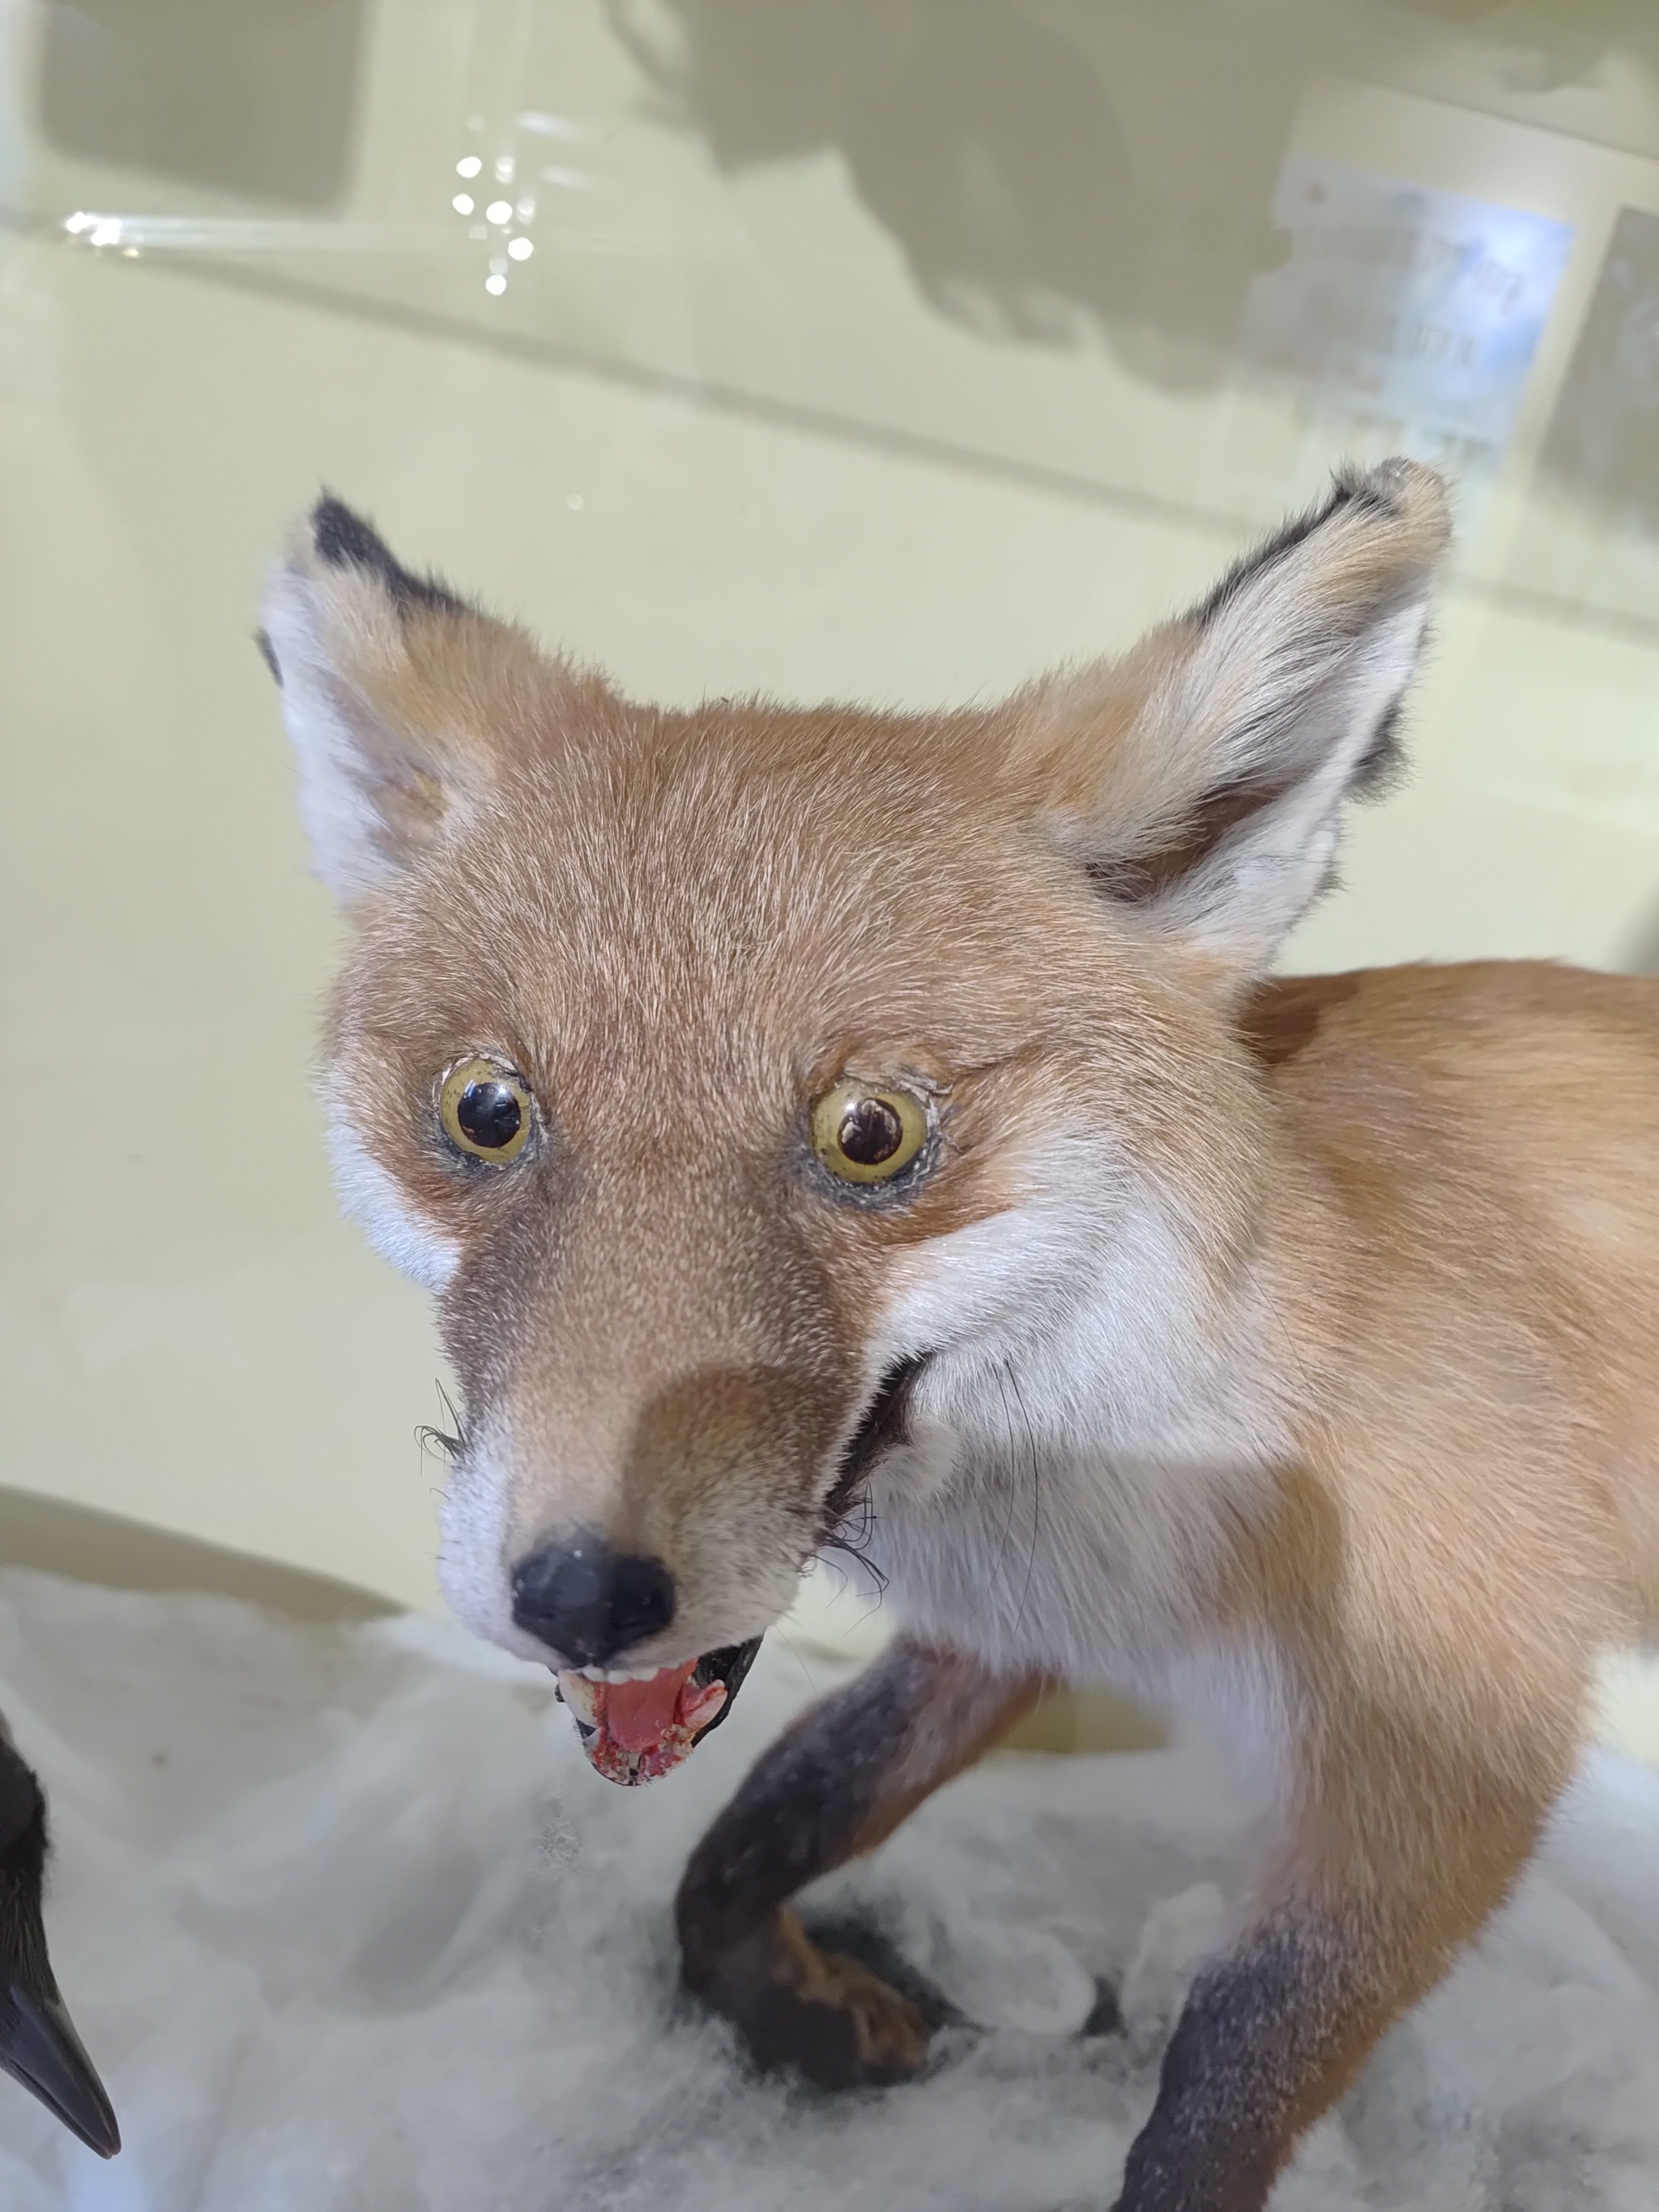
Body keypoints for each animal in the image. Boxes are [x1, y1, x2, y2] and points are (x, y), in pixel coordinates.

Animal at [261, 459, 1659, 2211]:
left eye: (870, 1135)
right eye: (485, 1111)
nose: (577, 1597)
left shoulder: (1454, 1749)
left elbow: (1223, 2068)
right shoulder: (1002, 1631)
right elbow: (751, 1834)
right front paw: (788, 2007)